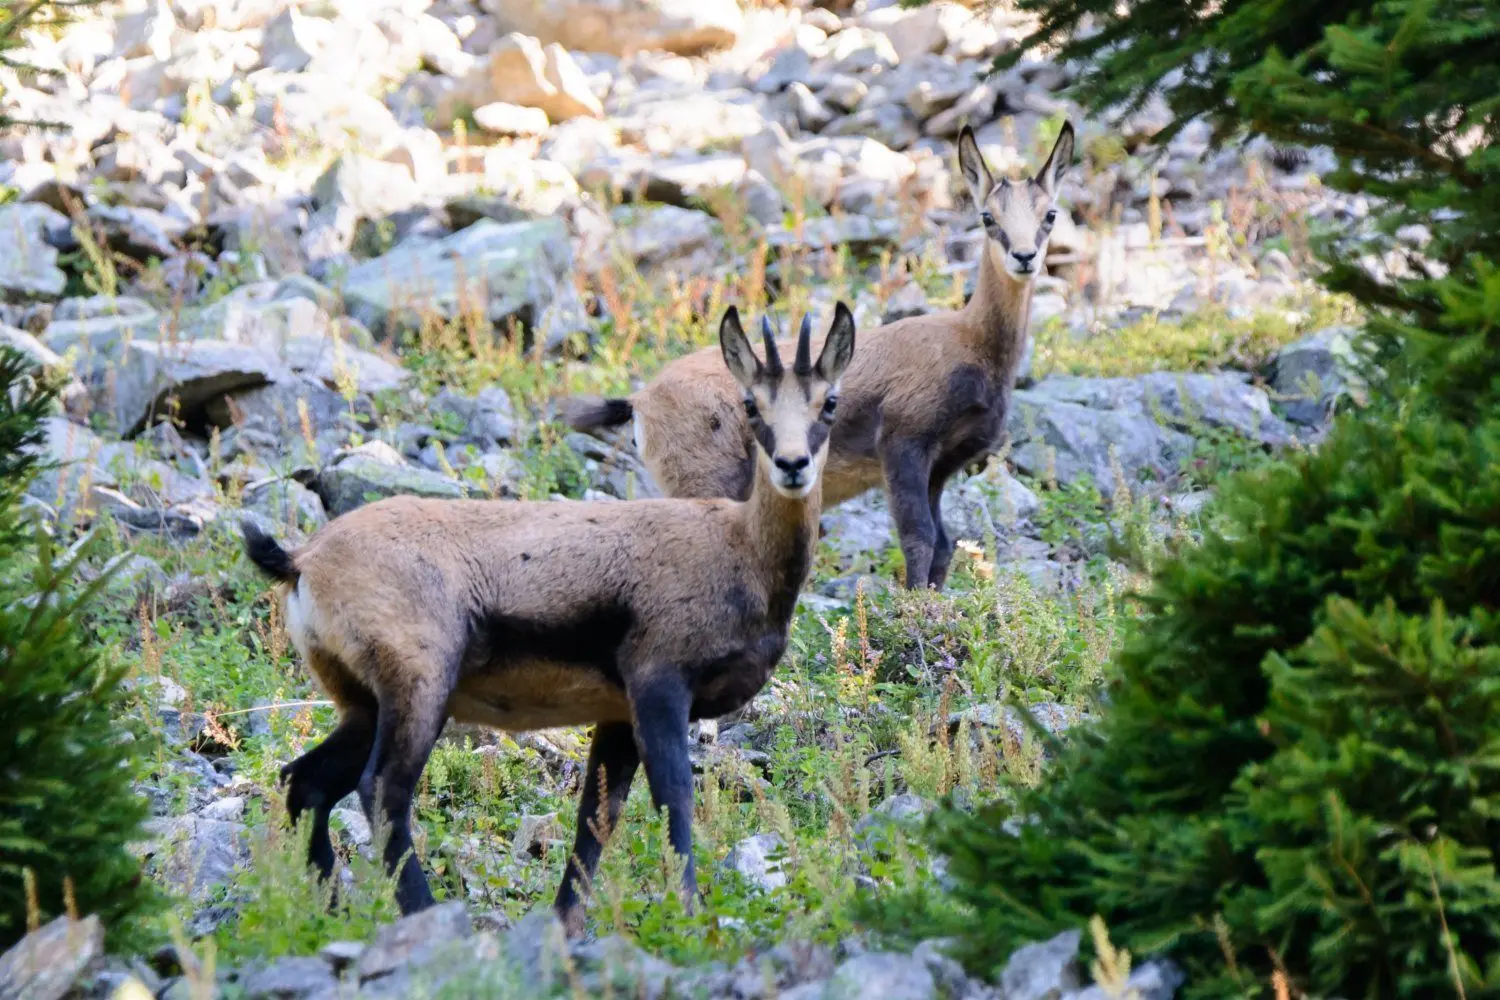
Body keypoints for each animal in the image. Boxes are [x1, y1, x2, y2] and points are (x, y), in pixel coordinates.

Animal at [242, 304, 856, 934]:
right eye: (751, 404)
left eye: (829, 401)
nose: (792, 466)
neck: (741, 548)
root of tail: (303, 559)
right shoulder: (658, 684)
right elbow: (674, 799)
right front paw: (686, 916)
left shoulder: (617, 713)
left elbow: (597, 816)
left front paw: (566, 926)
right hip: (419, 689)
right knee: (382, 790)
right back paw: (425, 912)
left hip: (362, 705)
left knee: (304, 782)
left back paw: (332, 916)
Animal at [567, 122, 1075, 590]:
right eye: (988, 216)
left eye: (1050, 213)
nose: (1025, 257)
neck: (971, 340)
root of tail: (640, 401)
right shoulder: (903, 445)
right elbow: (918, 538)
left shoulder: (942, 466)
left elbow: (944, 545)